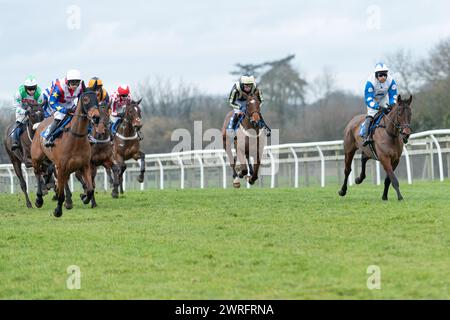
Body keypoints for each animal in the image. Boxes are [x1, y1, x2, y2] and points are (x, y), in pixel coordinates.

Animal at [31, 84, 100, 218]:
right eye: (86, 99)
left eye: (97, 99)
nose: (96, 117)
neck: (76, 138)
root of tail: (40, 124)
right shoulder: (62, 167)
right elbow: (61, 193)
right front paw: (58, 210)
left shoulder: (84, 165)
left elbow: (90, 190)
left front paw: (84, 197)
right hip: (37, 158)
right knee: (37, 173)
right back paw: (39, 199)